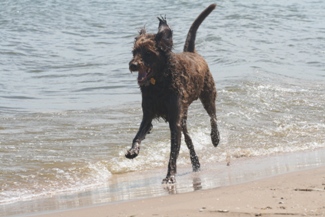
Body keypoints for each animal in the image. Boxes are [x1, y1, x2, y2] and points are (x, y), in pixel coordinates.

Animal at [125, 3, 219, 183]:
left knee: (213, 116)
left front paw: (170, 176)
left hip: (208, 93)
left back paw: (215, 137)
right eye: (134, 52)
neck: (159, 82)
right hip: (184, 115)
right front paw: (133, 150)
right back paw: (195, 162)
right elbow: (138, 135)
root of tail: (193, 52)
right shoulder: (148, 114)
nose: (132, 65)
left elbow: (173, 151)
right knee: (188, 138)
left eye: (148, 53)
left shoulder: (174, 119)